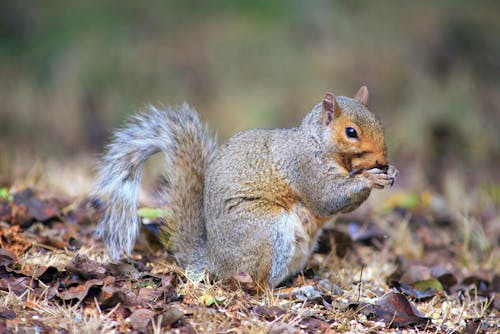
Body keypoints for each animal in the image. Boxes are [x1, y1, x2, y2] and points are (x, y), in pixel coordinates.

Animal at [92, 86, 396, 288]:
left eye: (380, 123)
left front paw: (388, 173)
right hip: (265, 232)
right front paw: (371, 178)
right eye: (351, 132)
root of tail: (214, 261)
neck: (318, 143)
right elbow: (327, 197)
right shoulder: (304, 166)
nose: (383, 160)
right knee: (255, 282)